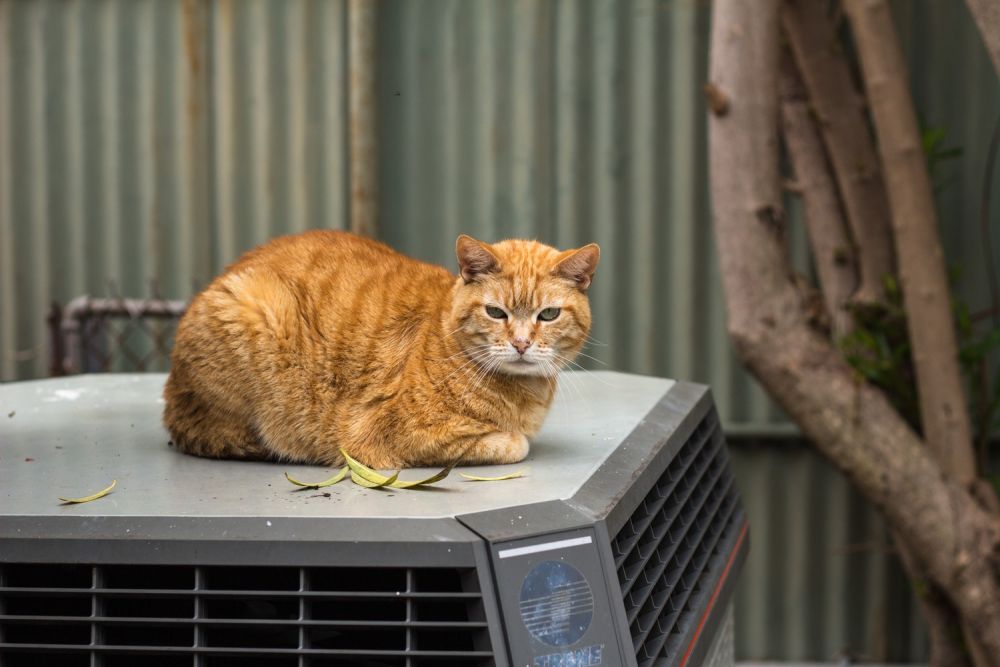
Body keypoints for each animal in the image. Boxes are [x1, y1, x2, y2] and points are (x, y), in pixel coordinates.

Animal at [163, 232, 596, 468]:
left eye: (549, 314)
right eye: (495, 312)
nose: (521, 343)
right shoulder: (394, 436)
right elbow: (513, 444)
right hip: (253, 310)